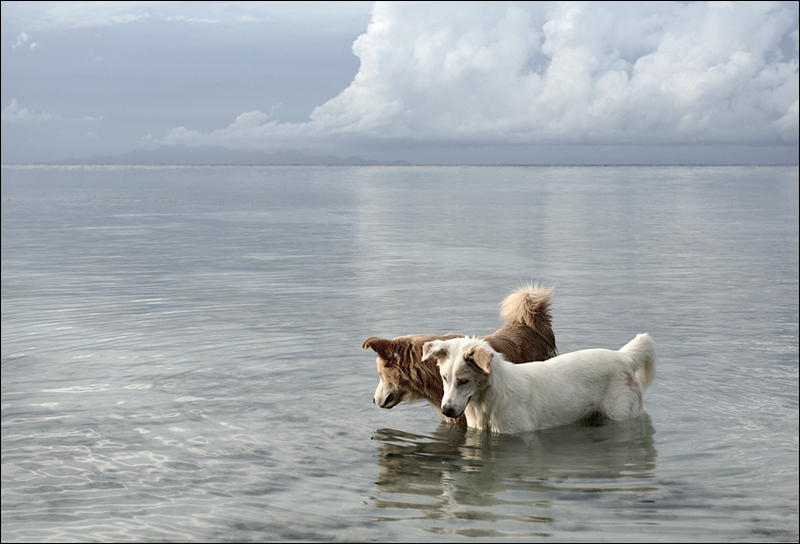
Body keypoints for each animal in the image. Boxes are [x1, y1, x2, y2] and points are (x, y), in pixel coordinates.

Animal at [418, 332, 656, 434]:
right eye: (445, 378)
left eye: (464, 381)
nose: (446, 411)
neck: (488, 400)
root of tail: (623, 356)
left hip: (621, 415)